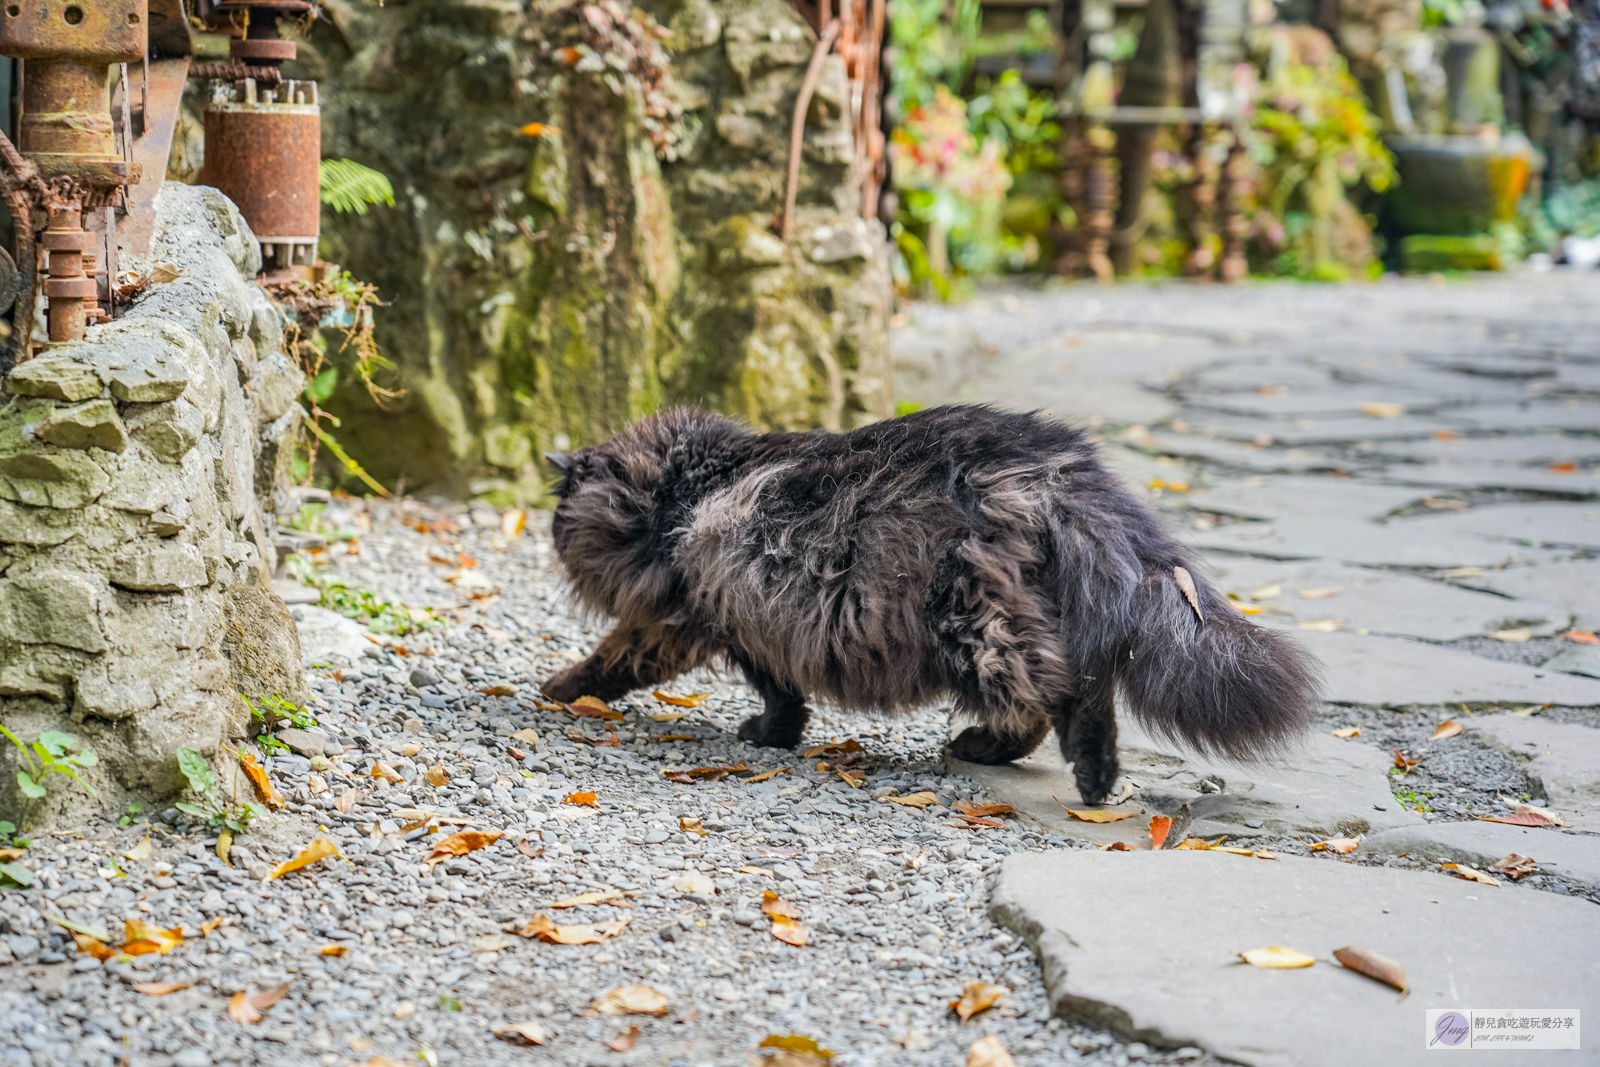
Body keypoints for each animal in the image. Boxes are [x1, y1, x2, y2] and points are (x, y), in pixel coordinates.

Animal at [544, 406, 1318, 799]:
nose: (550, 535)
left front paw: (558, 689)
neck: (689, 484)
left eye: (558, 518)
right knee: (1078, 681)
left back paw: (1075, 772)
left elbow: (619, 657)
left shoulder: (700, 612)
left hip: (968, 618)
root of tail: (1057, 469)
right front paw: (779, 733)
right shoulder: (748, 620)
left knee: (1054, 693)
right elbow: (784, 693)